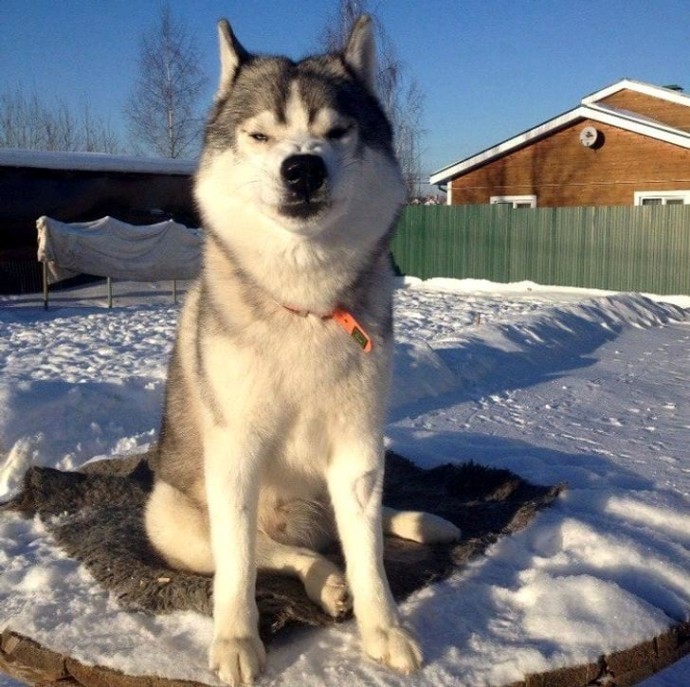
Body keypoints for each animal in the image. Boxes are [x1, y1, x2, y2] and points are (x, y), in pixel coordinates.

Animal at [144, 17, 456, 687]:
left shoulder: (359, 447)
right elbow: (239, 569)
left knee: (355, 527)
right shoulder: (235, 452)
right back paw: (325, 581)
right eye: (261, 135)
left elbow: (370, 553)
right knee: (273, 552)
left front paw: (384, 629)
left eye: (336, 132)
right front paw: (237, 639)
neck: (304, 304)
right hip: (170, 515)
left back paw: (413, 527)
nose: (302, 169)